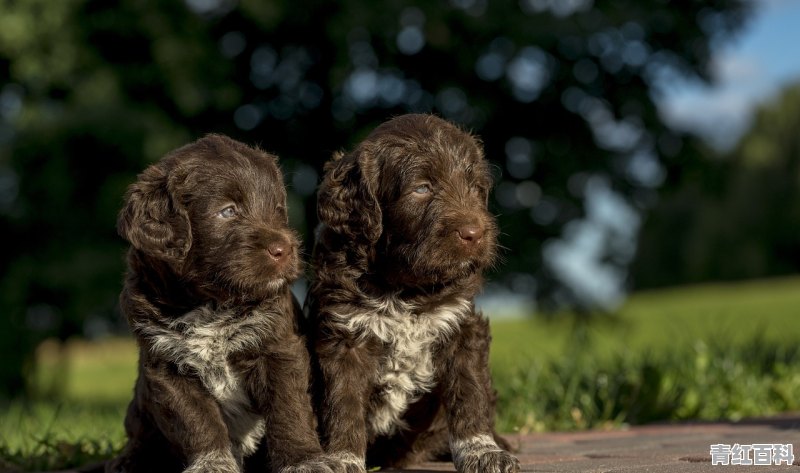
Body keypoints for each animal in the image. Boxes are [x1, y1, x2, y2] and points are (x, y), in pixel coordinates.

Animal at [108, 134, 340, 472]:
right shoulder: (167, 368)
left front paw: (303, 460)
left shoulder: (279, 348)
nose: (284, 250)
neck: (210, 305)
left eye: (277, 208)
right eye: (228, 211)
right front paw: (213, 463)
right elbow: (197, 421)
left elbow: (289, 409)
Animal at [304, 114, 520, 472]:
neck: (404, 290)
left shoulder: (462, 326)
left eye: (475, 188)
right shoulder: (344, 337)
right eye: (422, 188)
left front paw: (483, 451)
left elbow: (469, 393)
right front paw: (343, 458)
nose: (474, 234)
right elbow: (343, 403)